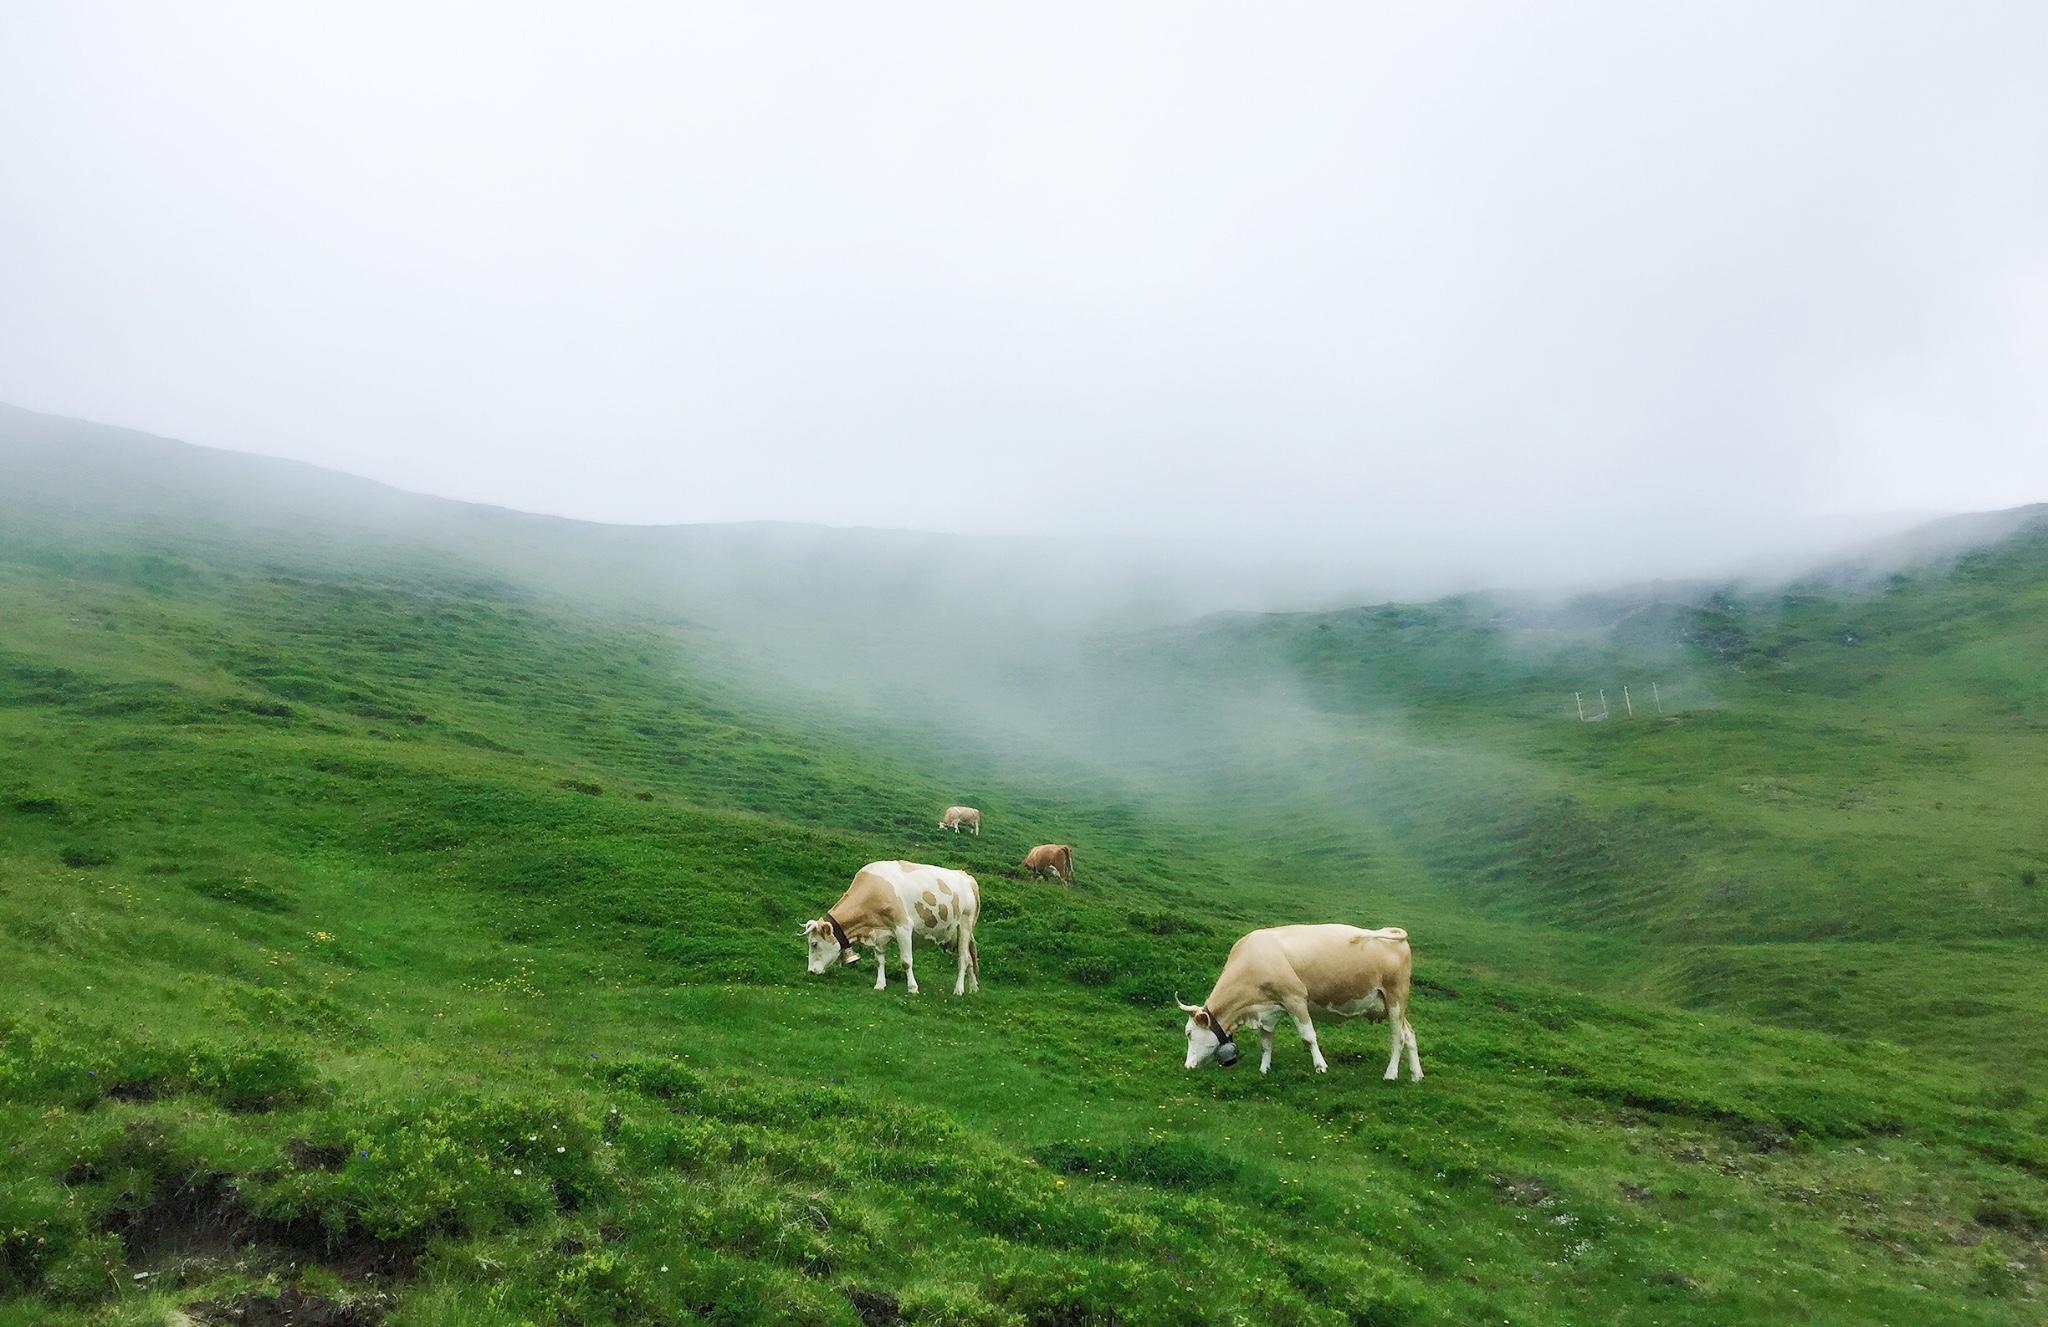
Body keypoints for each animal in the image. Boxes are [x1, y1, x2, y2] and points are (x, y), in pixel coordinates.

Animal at [802, 860, 978, 995]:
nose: (810, 971)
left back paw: (959, 989)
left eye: (814, 944)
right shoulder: (878, 933)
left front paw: (913, 988)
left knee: (963, 958)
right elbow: (879, 961)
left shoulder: (903, 927)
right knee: (971, 958)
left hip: (964, 925)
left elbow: (906, 961)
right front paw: (880, 985)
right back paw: (973, 988)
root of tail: (967, 877)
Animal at [1179, 929, 1417, 1081]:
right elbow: (1265, 1042)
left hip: (1396, 999)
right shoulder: (1267, 1011)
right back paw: (1416, 1075)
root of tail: (1390, 932)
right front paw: (1264, 1069)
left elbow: (1308, 1036)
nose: (1187, 1066)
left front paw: (1320, 1066)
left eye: (1189, 1033)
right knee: (1409, 1034)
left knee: (1398, 1037)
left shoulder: (1295, 998)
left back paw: (1391, 1074)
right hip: (1388, 1005)